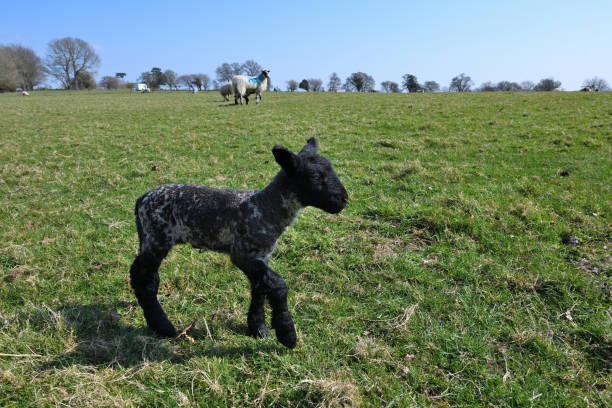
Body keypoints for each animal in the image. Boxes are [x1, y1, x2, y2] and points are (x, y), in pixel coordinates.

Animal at [128, 139, 350, 350]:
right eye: (314, 177)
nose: (344, 199)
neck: (265, 208)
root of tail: (141, 199)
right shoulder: (242, 254)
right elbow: (278, 284)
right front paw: (287, 335)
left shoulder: (261, 255)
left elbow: (261, 287)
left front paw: (258, 328)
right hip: (157, 236)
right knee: (142, 276)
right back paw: (162, 326)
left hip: (148, 237)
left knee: (149, 276)